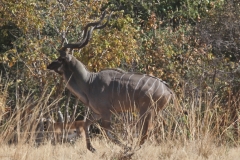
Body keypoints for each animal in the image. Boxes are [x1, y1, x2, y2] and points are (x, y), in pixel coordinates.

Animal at [46, 11, 182, 152]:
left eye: (60, 59)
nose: (48, 65)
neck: (89, 82)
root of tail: (168, 90)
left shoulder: (106, 112)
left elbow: (108, 132)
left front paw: (126, 146)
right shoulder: (97, 112)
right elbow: (86, 124)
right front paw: (91, 148)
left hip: (146, 111)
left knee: (146, 131)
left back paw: (134, 149)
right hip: (154, 112)